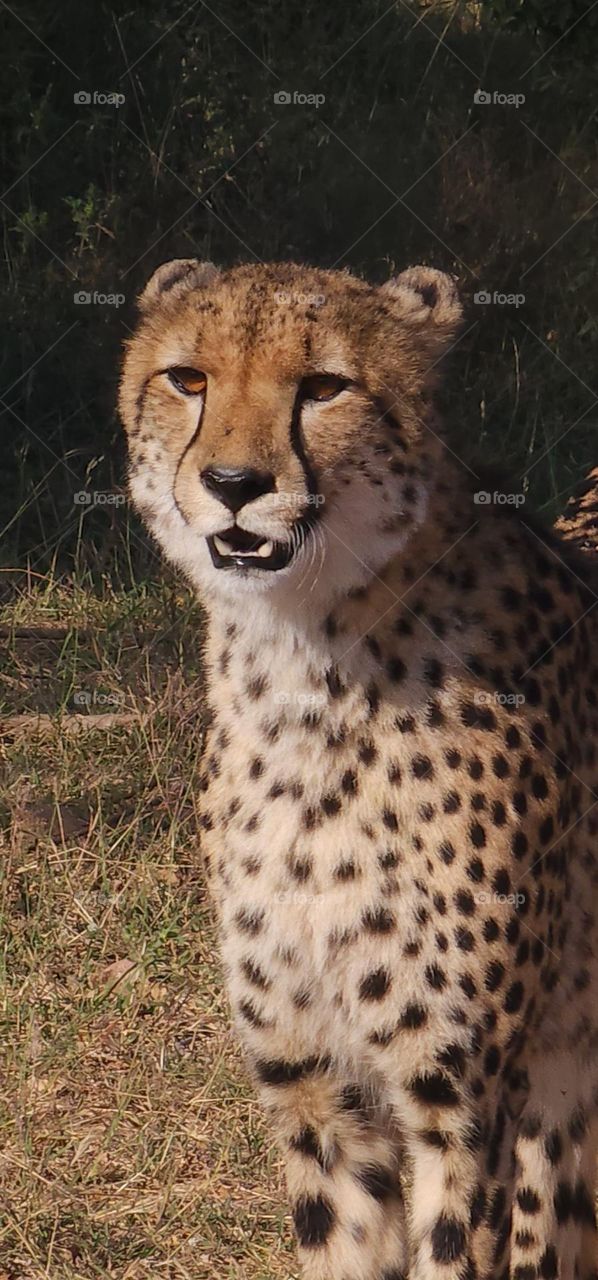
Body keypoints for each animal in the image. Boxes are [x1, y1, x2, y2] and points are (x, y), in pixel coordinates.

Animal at [119, 257, 598, 1280]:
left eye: (324, 387)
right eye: (188, 378)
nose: (233, 483)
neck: (307, 670)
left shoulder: (464, 1106)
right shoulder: (316, 1091)